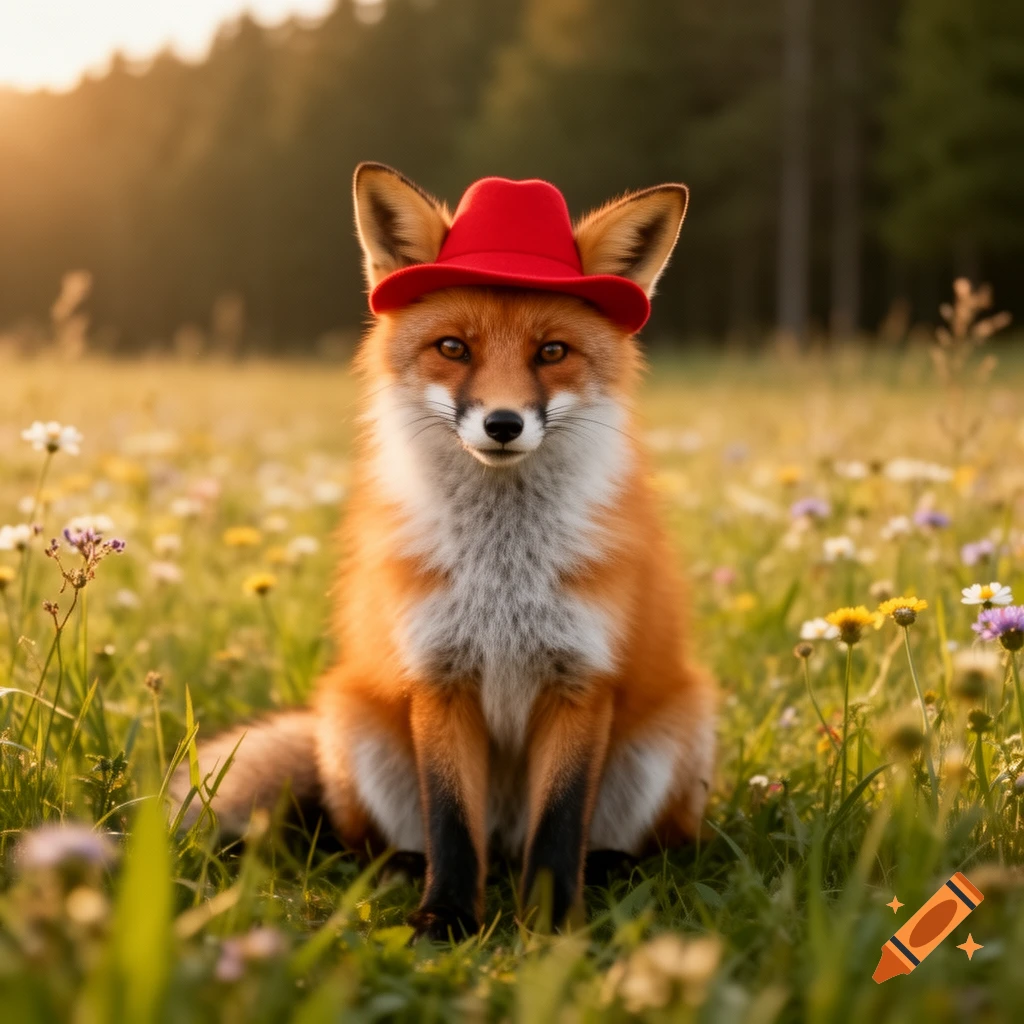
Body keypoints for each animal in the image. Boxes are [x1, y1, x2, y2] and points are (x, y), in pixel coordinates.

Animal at [172, 163, 716, 941]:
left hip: (675, 728)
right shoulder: (439, 675)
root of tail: (506, 836)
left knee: (641, 843)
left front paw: (552, 924)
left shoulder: (580, 680)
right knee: (379, 839)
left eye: (552, 352)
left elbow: (560, 825)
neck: (503, 575)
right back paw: (402, 870)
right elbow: (453, 824)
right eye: (454, 348)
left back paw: (609, 868)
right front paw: (447, 919)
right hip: (355, 722)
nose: (503, 423)